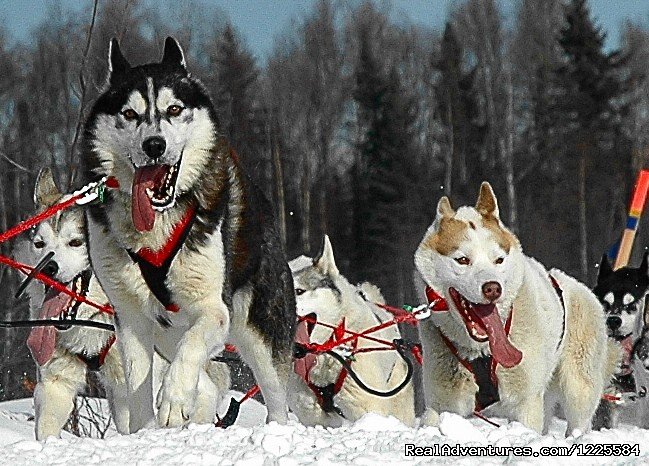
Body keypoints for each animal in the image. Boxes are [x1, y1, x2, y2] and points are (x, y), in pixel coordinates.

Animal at [79, 38, 294, 432]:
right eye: (129, 114)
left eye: (174, 109)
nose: (154, 145)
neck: (156, 227)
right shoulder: (131, 318)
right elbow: (137, 381)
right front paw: (145, 429)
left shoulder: (213, 309)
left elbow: (191, 348)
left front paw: (174, 398)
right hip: (164, 332)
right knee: (205, 380)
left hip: (261, 337)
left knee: (275, 398)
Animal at [416, 181, 616, 434]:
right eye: (462, 260)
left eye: (499, 260)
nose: (493, 288)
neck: (482, 351)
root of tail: (585, 291)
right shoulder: (441, 404)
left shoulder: (526, 403)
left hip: (578, 389)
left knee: (579, 418)